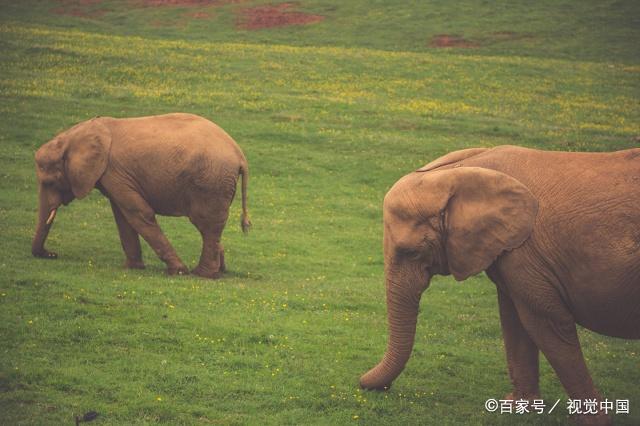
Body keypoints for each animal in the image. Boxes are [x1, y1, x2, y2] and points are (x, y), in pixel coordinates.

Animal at [31, 113, 250, 280]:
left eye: (49, 182)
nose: (52, 254)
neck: (74, 136)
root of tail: (240, 155)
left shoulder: (113, 171)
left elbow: (138, 213)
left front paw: (178, 272)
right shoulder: (114, 176)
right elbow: (122, 217)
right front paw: (132, 268)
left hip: (210, 182)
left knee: (206, 225)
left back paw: (202, 274)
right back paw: (220, 270)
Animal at [360, 146, 640, 422]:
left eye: (412, 252)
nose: (363, 383)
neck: (460, 171)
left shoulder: (526, 253)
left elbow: (546, 323)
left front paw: (594, 420)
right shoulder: (510, 253)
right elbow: (513, 316)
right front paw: (519, 408)